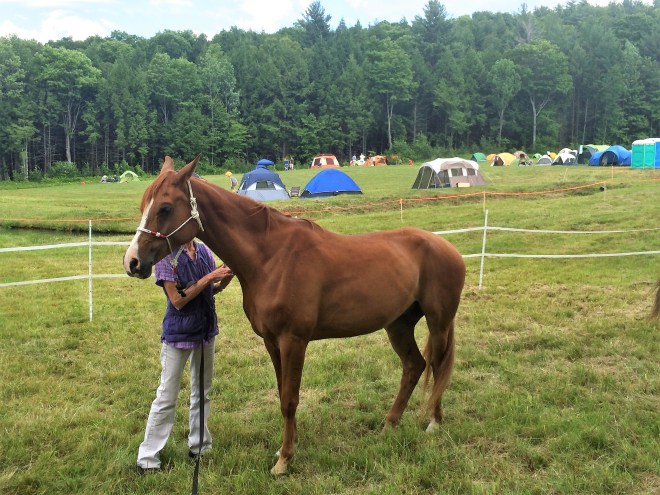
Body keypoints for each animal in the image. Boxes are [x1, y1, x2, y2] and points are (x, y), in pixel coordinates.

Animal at [123, 156, 466, 475]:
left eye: (165, 208)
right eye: (143, 205)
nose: (132, 262)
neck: (271, 257)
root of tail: (447, 247)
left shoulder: (293, 341)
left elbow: (290, 399)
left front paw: (285, 460)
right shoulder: (272, 342)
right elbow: (281, 394)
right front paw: (286, 448)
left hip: (438, 323)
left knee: (437, 365)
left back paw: (433, 422)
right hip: (398, 325)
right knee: (414, 366)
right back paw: (389, 424)